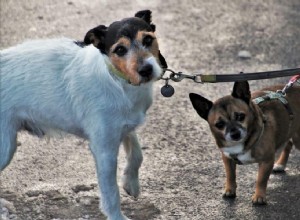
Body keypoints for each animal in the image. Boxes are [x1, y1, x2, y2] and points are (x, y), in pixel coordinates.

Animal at [0, 9, 168, 219]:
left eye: (147, 39)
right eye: (120, 50)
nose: (146, 70)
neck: (118, 80)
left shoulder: (123, 127)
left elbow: (137, 153)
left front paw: (131, 183)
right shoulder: (104, 149)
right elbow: (111, 192)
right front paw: (117, 216)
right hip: (5, 146)